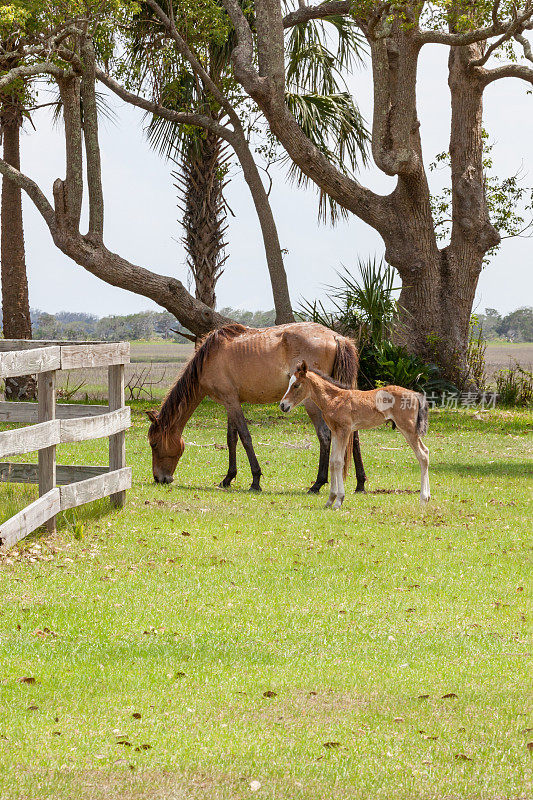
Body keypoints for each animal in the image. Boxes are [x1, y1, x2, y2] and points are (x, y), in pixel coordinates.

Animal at [147, 322, 366, 490]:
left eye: (154, 443)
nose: (160, 479)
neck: (209, 359)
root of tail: (336, 337)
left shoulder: (231, 402)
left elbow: (245, 437)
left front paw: (255, 480)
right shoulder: (230, 402)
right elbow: (231, 439)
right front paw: (228, 478)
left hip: (313, 402)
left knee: (324, 435)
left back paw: (318, 484)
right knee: (353, 436)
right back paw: (360, 484)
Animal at [278, 362, 428, 506]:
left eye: (296, 385)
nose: (282, 405)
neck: (334, 399)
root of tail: (415, 395)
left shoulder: (345, 431)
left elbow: (339, 462)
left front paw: (339, 500)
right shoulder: (335, 432)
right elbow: (333, 461)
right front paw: (330, 499)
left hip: (408, 428)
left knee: (422, 455)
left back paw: (423, 498)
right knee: (425, 452)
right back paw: (427, 497)